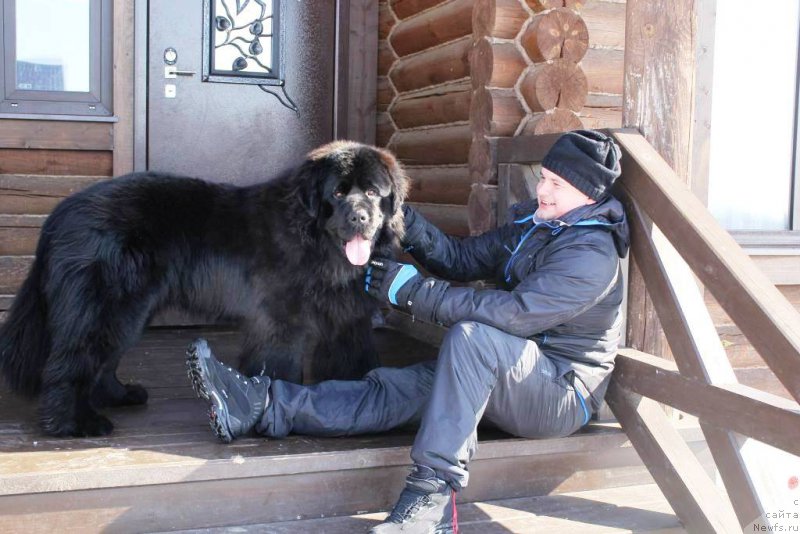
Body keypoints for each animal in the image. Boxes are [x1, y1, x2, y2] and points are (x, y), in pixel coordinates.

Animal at [0, 140, 410, 438]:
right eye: (337, 194)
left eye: (373, 192)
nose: (359, 217)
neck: (315, 242)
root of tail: (61, 212)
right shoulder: (280, 319)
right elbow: (279, 367)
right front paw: (276, 407)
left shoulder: (346, 320)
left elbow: (354, 362)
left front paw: (360, 400)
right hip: (107, 308)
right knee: (70, 362)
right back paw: (73, 423)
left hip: (131, 312)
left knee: (104, 362)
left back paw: (117, 396)